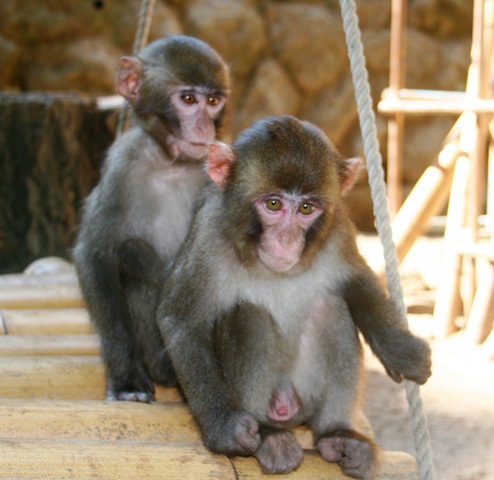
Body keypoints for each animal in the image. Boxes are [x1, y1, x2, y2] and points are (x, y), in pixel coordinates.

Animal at [73, 36, 230, 402]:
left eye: (213, 101)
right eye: (188, 99)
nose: (204, 126)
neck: (171, 163)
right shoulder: (122, 162)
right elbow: (96, 253)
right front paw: (125, 377)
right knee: (132, 251)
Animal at [158, 114, 428, 478]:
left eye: (306, 208)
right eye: (273, 204)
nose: (287, 241)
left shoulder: (337, 227)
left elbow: (355, 279)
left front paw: (398, 349)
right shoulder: (207, 234)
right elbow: (181, 320)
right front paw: (223, 427)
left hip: (305, 397)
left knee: (330, 308)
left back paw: (337, 433)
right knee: (248, 314)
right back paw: (268, 433)